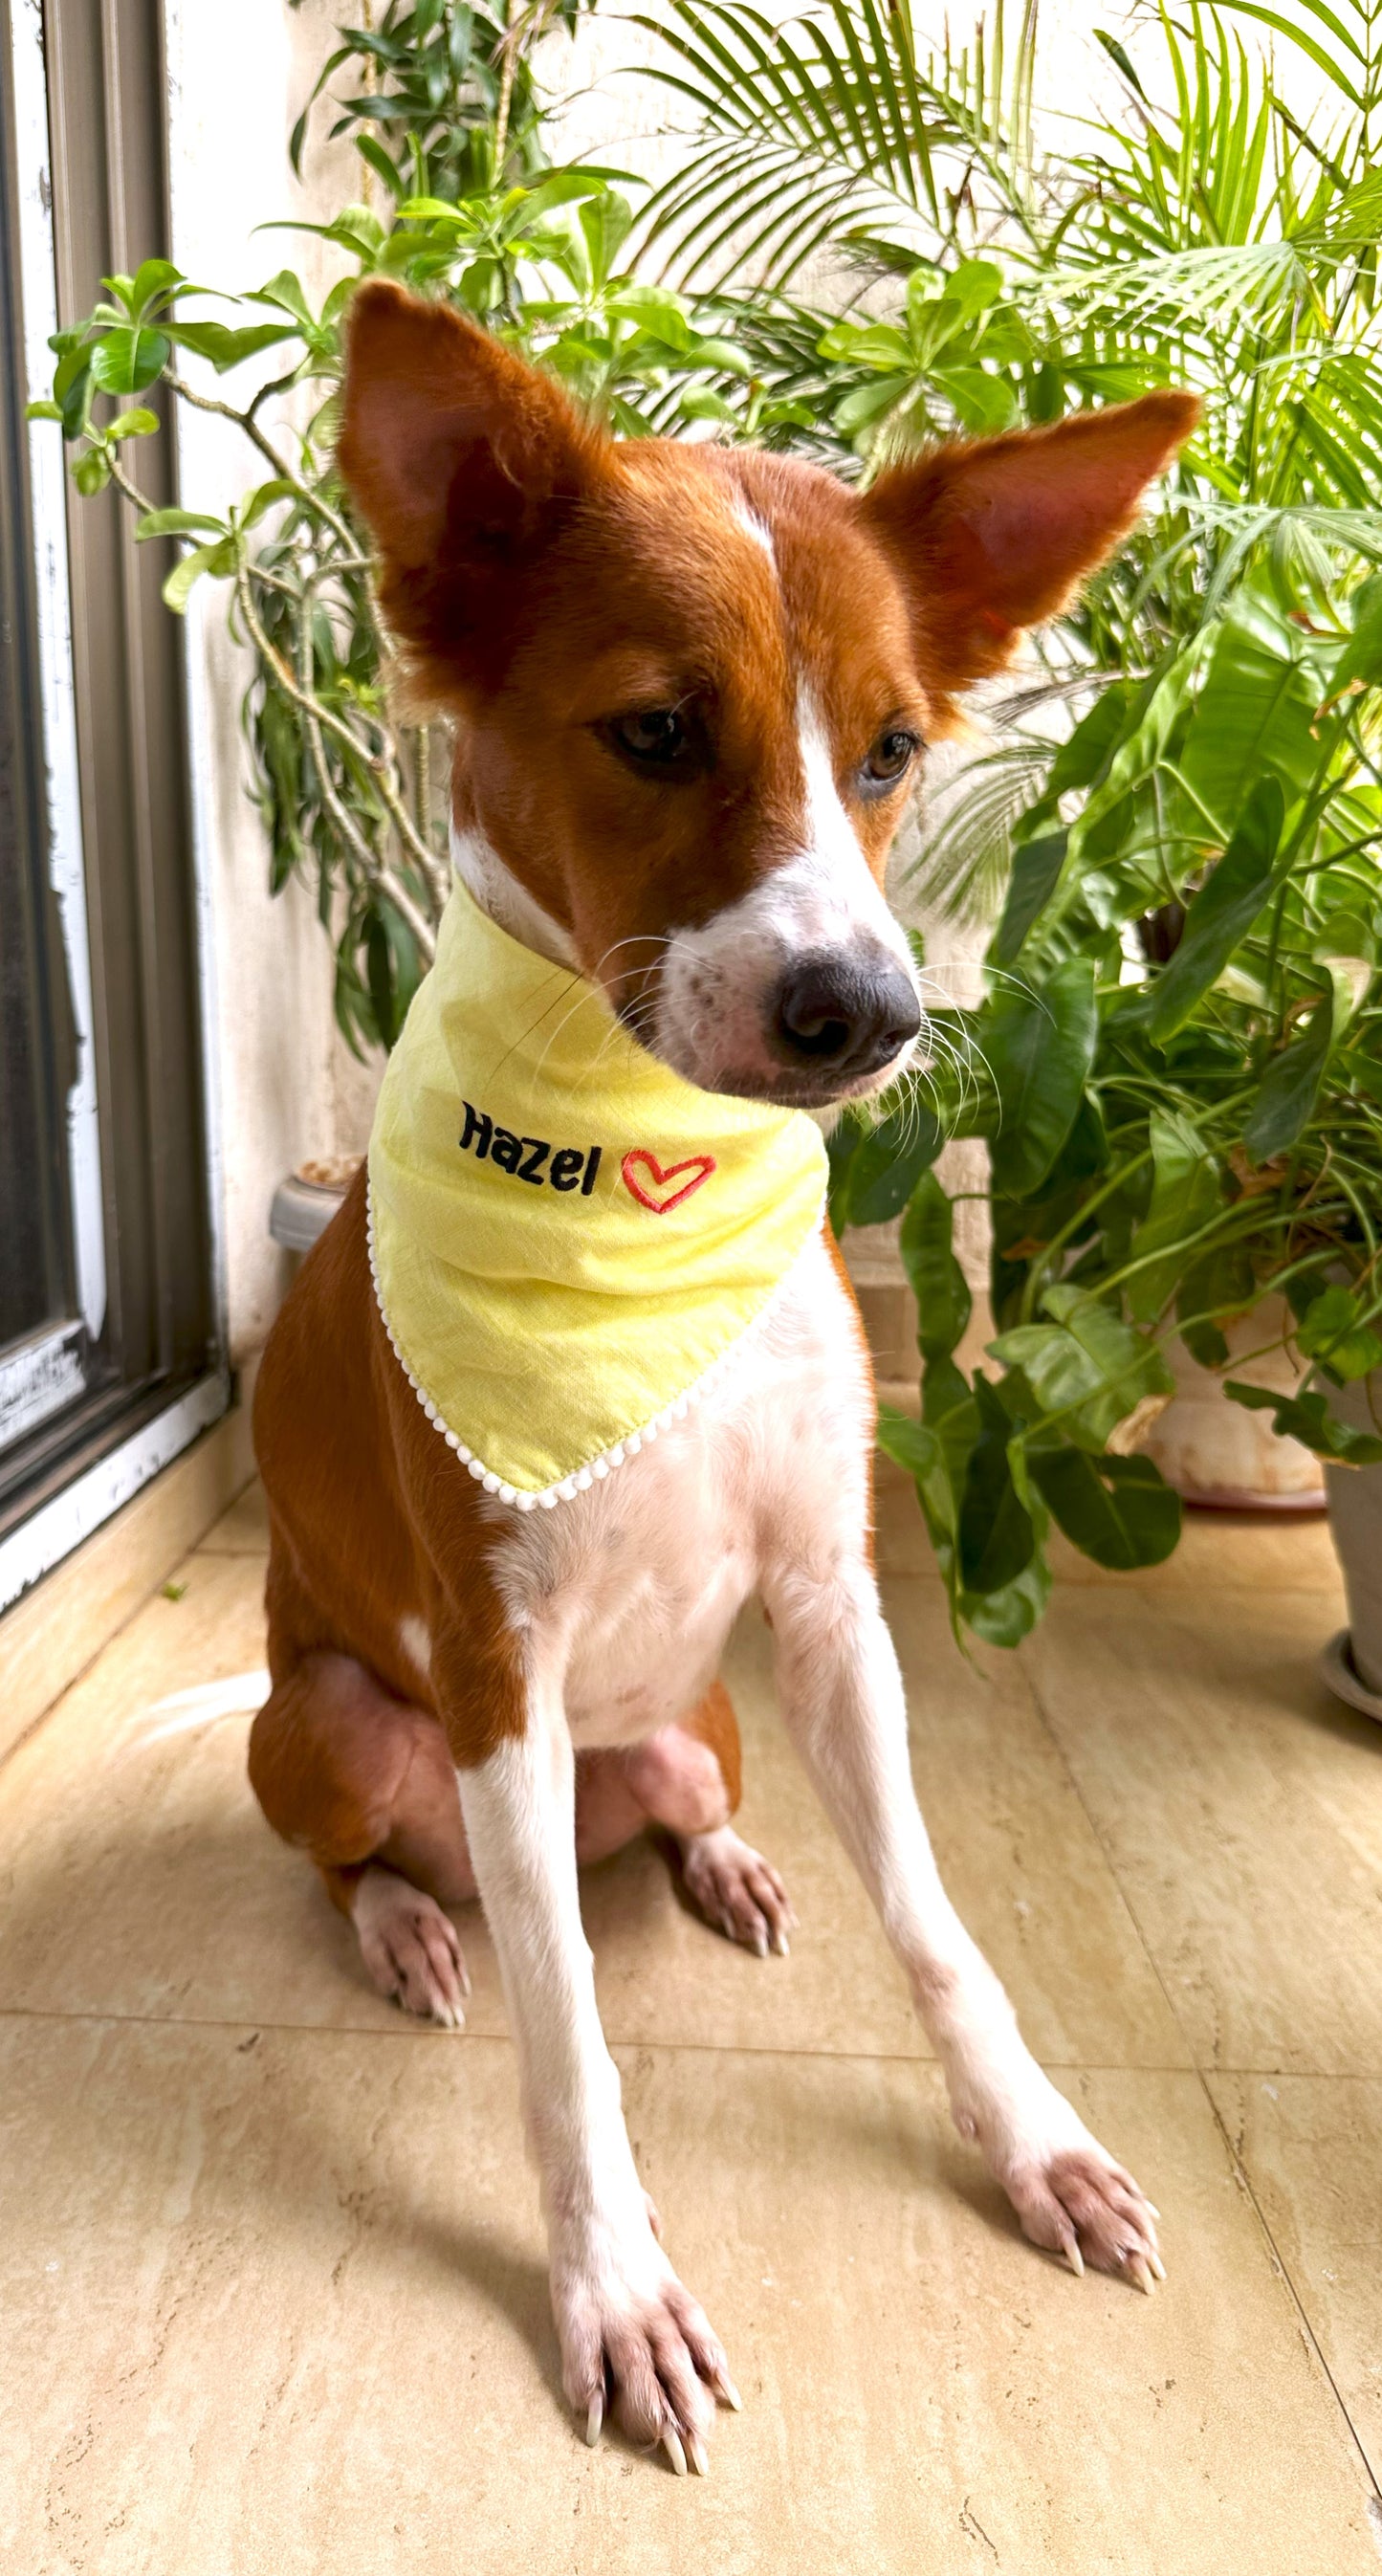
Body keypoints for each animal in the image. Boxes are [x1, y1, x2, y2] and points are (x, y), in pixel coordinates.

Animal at [248, 287, 1194, 2473]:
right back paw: (409, 1920)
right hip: (331, 1723)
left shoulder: (833, 1605)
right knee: (370, 1860)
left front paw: (1032, 2141)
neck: (633, 1187)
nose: (869, 1014)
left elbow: (938, 1928)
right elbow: (567, 2039)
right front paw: (617, 2290)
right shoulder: (492, 1663)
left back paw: (729, 1862)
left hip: (708, 1719)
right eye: (658, 729)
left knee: (678, 1811)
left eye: (893, 748)